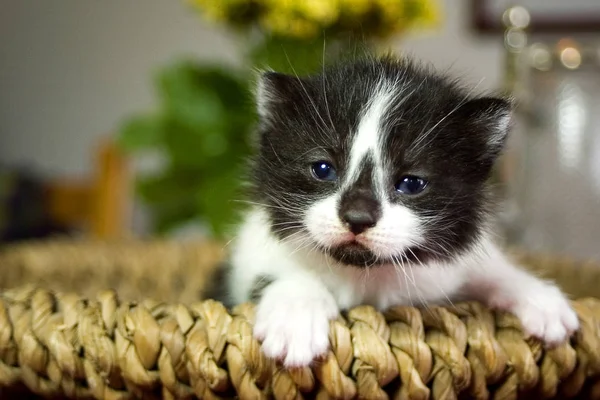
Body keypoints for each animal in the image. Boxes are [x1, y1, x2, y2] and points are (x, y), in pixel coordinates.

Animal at [213, 54, 580, 368]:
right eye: (322, 168)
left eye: (411, 182)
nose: (358, 218)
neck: (365, 274)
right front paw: (296, 314)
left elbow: (486, 267)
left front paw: (538, 297)